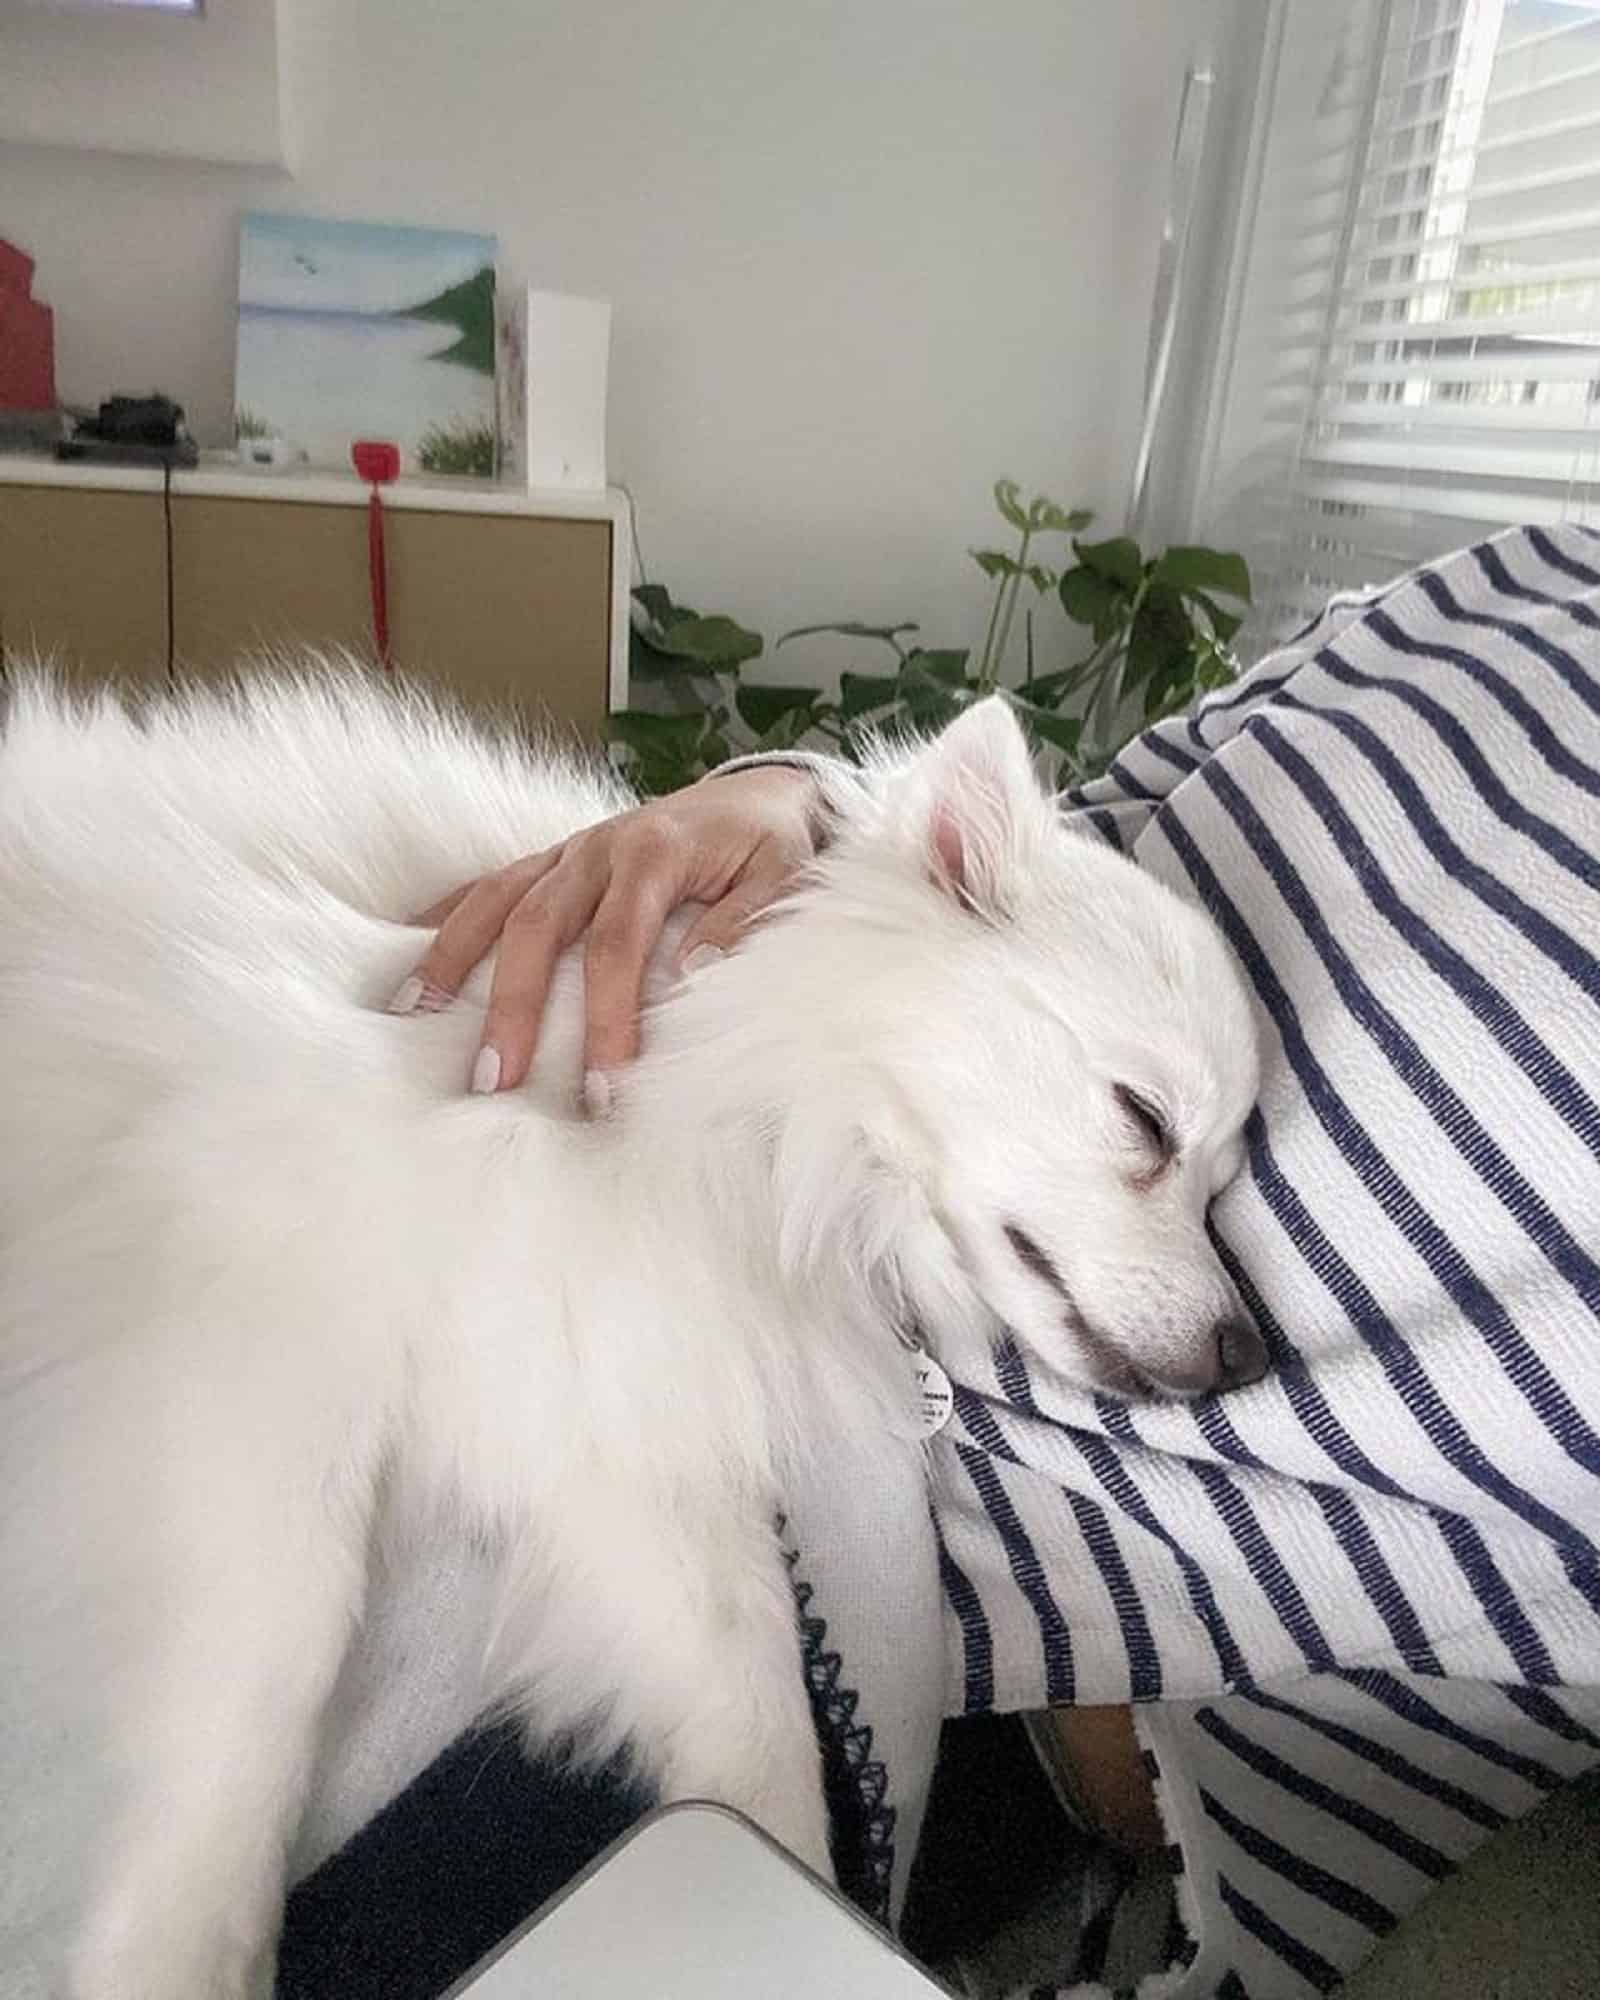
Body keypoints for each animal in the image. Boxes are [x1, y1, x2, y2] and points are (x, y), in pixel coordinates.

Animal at [0, 680, 1256, 1992]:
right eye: (1144, 1120)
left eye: (1227, 1177)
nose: (1249, 1350)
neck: (733, 1106)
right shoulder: (261, 1323)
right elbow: (264, 1675)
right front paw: (176, 1954)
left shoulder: (610, 1394)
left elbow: (761, 1726)